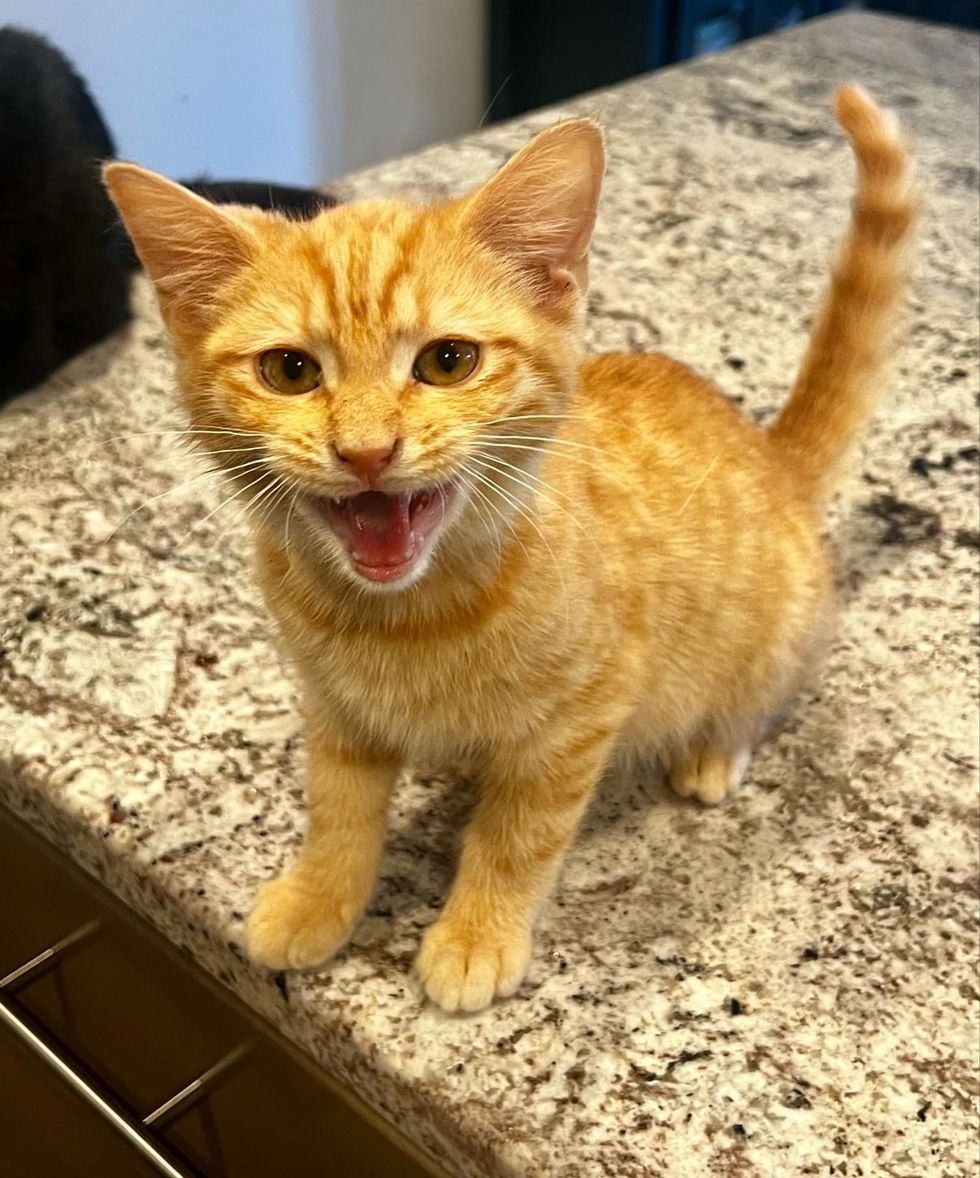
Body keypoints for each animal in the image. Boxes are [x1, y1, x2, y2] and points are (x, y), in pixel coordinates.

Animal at [108, 89, 918, 1013]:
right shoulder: (336, 707)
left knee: (757, 695)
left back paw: (714, 747)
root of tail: (771, 454)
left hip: (776, 633)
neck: (402, 618)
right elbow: (337, 810)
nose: (366, 452)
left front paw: (477, 934)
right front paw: (319, 897)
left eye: (447, 361)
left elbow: (517, 835)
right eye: (289, 371)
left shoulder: (577, 721)